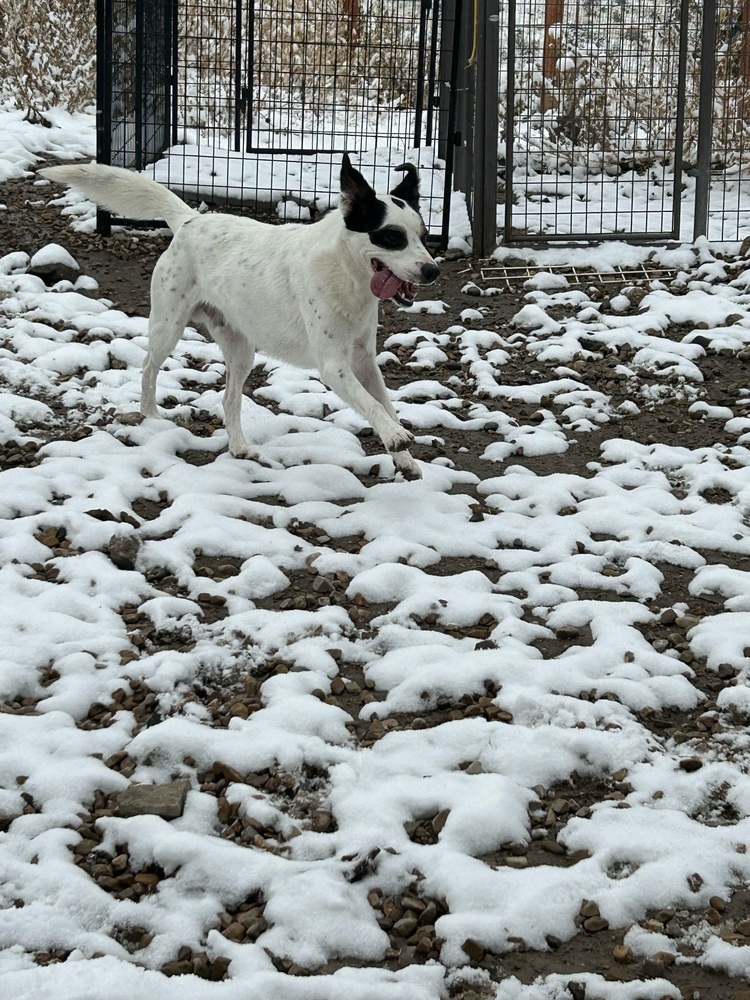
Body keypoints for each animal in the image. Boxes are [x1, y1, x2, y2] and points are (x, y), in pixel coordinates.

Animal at [39, 156, 440, 480]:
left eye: (423, 236)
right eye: (391, 237)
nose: (432, 271)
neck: (346, 273)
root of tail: (190, 221)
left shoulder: (363, 362)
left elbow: (386, 404)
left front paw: (404, 459)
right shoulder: (334, 366)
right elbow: (372, 405)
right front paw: (395, 436)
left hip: (241, 350)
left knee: (229, 400)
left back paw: (239, 448)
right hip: (168, 327)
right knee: (149, 368)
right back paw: (150, 415)